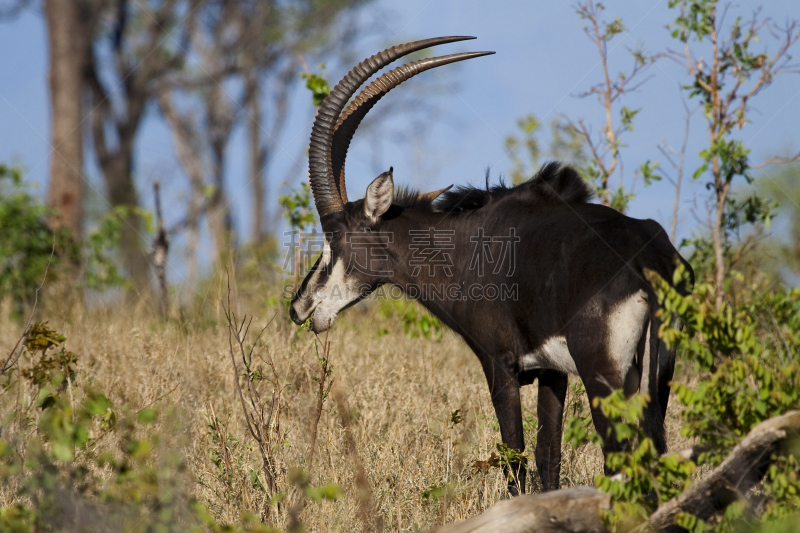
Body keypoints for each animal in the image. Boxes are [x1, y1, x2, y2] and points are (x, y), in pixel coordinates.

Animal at [290, 37, 692, 494]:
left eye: (335, 236)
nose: (299, 307)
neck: (465, 246)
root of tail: (650, 255)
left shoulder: (500, 366)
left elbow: (514, 461)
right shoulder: (553, 373)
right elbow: (547, 459)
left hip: (604, 375)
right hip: (653, 373)